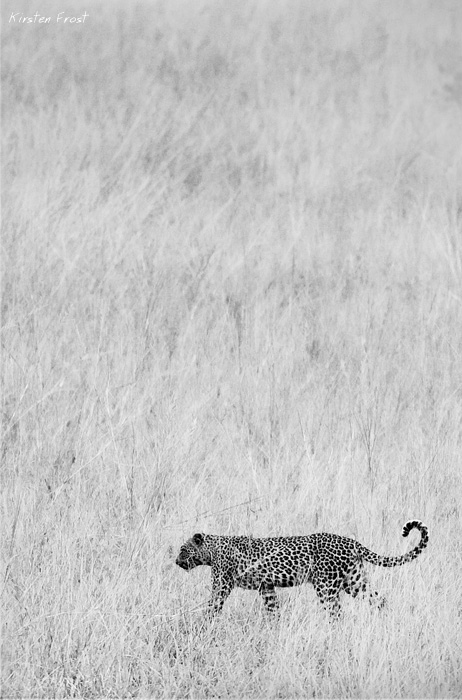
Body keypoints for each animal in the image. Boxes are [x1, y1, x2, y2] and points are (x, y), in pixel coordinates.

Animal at [175, 520, 428, 617]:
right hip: (355, 581)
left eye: (183, 549)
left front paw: (205, 623)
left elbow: (213, 604)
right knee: (379, 599)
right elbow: (272, 609)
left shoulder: (222, 583)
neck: (212, 549)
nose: (176, 562)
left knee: (336, 613)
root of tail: (352, 542)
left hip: (327, 585)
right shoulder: (267, 587)